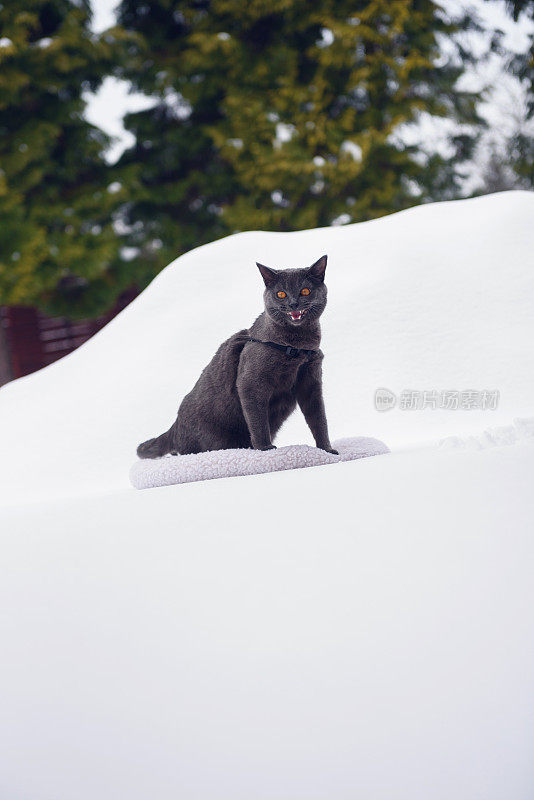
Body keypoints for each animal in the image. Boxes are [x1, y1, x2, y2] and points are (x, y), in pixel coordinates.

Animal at [138, 256, 340, 456]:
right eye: (281, 294)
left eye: (305, 291)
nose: (293, 304)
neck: (296, 347)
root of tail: (174, 427)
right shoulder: (250, 383)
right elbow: (258, 421)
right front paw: (265, 448)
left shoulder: (311, 383)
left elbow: (319, 419)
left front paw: (327, 449)